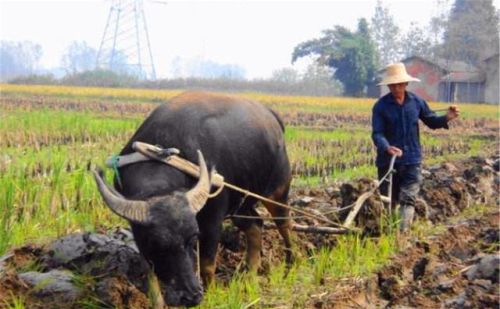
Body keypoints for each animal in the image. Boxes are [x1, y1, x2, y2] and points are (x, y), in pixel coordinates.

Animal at [93, 91, 292, 306]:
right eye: (156, 244)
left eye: (194, 237)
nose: (190, 296)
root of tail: (272, 117)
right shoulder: (139, 233)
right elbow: (149, 272)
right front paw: (158, 302)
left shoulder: (212, 221)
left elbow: (206, 264)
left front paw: (211, 294)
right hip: (241, 206)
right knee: (256, 224)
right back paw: (250, 275)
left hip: (278, 192)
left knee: (284, 224)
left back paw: (292, 263)